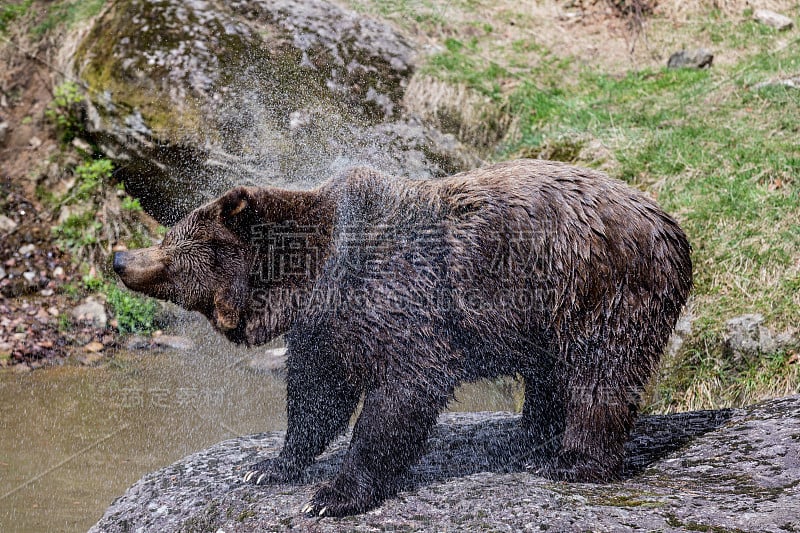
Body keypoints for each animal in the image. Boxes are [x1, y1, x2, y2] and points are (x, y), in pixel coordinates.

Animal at [114, 158, 692, 516]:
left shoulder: (401, 298)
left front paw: (332, 494)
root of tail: (672, 223)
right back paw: (524, 437)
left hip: (602, 287)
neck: (317, 278)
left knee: (601, 372)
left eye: (171, 242)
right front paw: (269, 466)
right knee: (550, 372)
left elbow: (401, 392)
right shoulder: (327, 328)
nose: (119, 257)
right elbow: (316, 395)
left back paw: (570, 461)